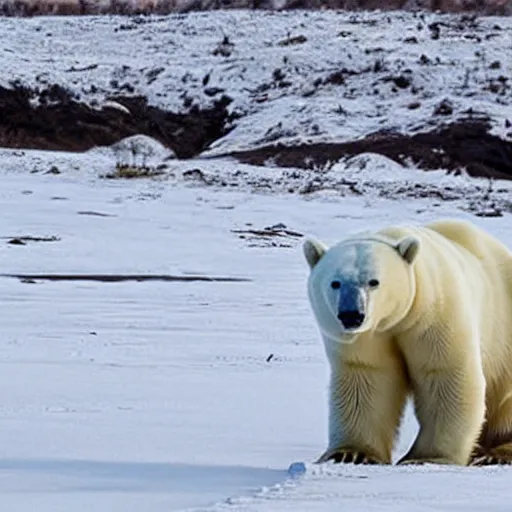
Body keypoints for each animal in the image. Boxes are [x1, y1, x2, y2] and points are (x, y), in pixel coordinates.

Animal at [302, 218, 512, 466]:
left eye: (373, 282)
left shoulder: (435, 314)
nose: (351, 315)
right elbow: (366, 379)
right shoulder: (367, 338)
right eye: (335, 283)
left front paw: (426, 458)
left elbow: (444, 375)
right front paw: (350, 453)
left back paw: (496, 453)